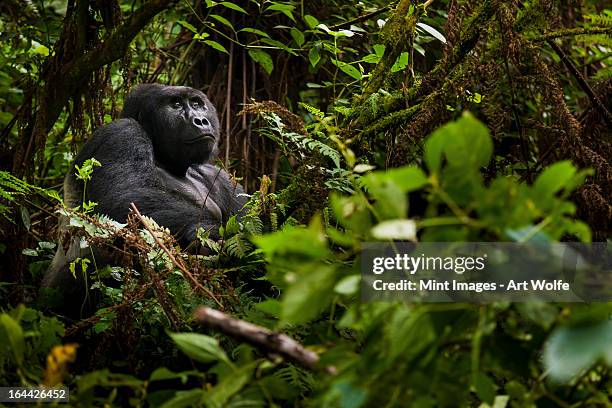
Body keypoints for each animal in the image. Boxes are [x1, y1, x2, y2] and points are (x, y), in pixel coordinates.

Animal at [41, 82, 249, 312]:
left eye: (197, 104)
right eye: (176, 104)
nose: (201, 120)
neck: (167, 161)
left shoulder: (217, 175)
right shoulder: (122, 132)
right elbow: (120, 200)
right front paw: (207, 230)